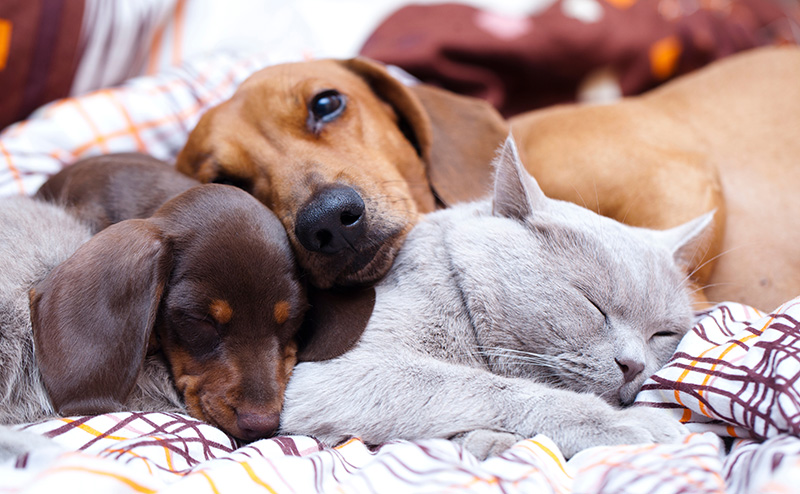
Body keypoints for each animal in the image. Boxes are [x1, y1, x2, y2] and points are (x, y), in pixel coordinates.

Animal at [280, 136, 712, 460]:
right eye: (592, 304)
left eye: (662, 333)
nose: (634, 365)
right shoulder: (338, 371)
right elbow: (487, 388)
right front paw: (632, 423)